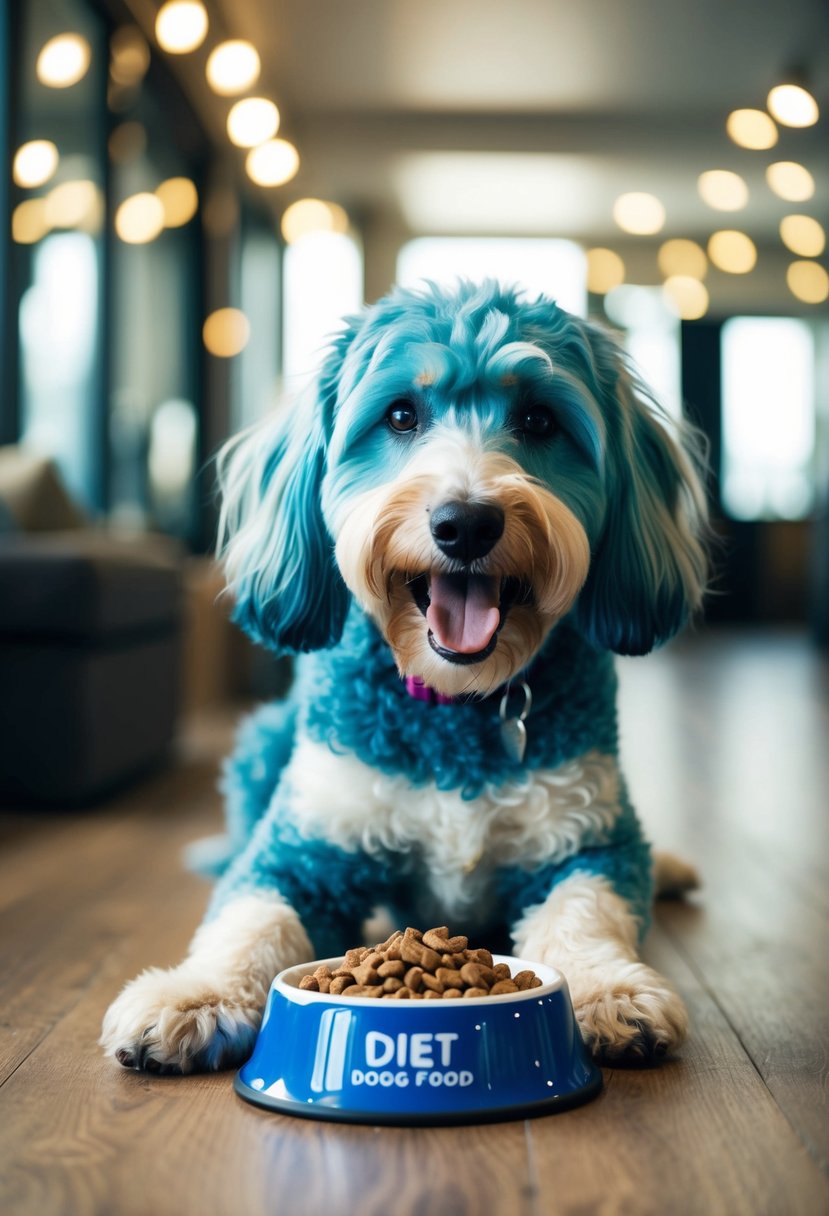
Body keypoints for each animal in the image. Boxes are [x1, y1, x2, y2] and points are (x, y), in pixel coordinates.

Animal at [98, 278, 705, 1074]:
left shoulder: (589, 843)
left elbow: (584, 913)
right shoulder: (302, 852)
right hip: (265, 744)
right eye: (399, 415)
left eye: (539, 418)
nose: (466, 522)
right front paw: (193, 994)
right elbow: (249, 919)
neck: (458, 702)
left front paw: (609, 988)